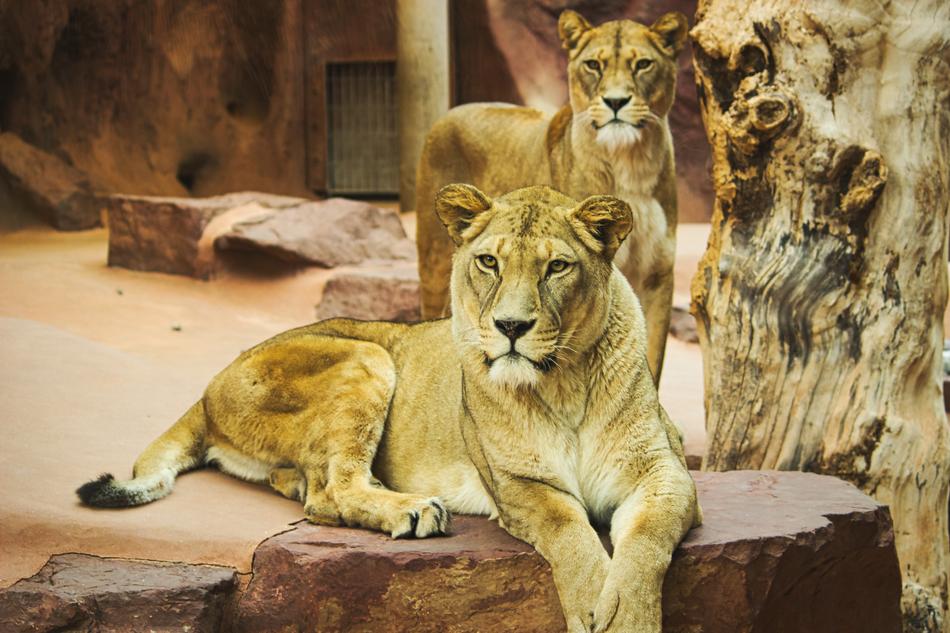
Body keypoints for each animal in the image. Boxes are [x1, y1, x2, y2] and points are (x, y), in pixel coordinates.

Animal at [78, 184, 700, 632]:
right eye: (489, 263)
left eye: (557, 267)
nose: (510, 327)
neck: (562, 383)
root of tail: (208, 387)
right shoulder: (520, 485)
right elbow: (570, 534)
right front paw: (596, 601)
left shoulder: (664, 474)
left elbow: (644, 545)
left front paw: (626, 615)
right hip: (368, 354)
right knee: (331, 493)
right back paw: (412, 509)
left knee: (311, 485)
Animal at [415, 10, 689, 384]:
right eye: (593, 65)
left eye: (643, 64)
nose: (616, 102)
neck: (629, 163)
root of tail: (450, 112)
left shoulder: (657, 275)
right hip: (434, 263)